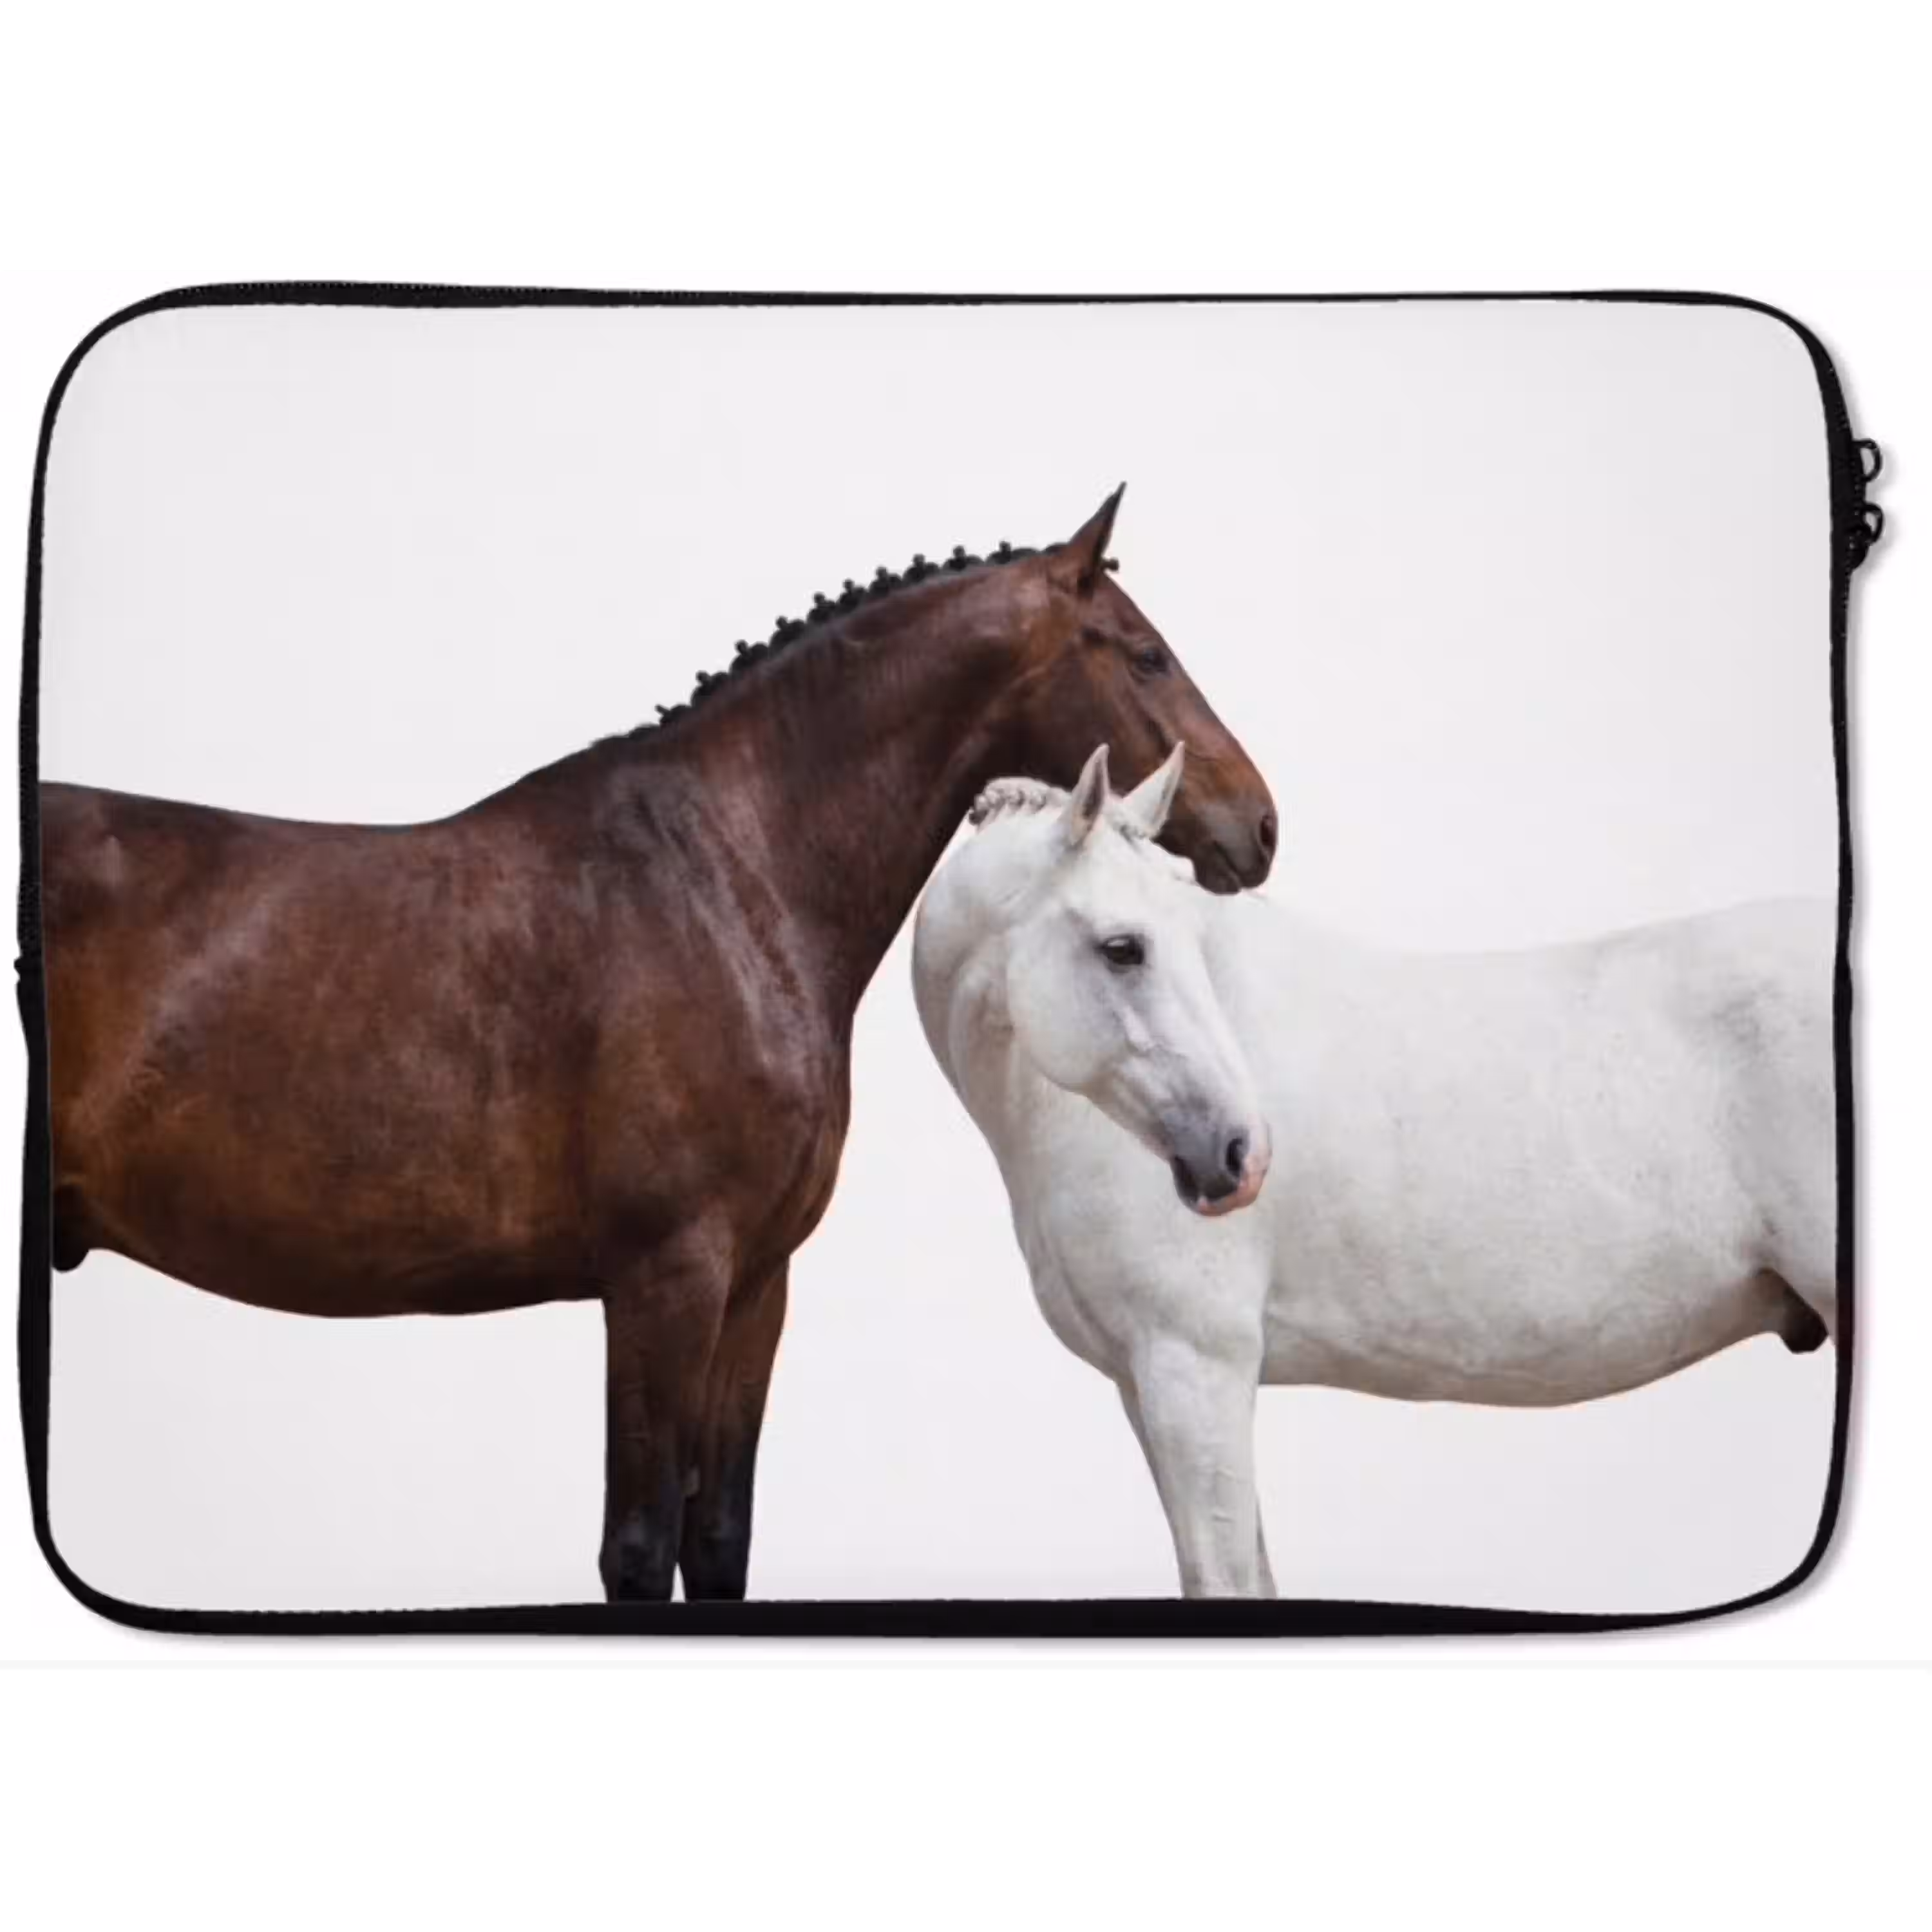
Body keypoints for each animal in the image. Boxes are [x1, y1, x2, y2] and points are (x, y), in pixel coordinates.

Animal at [37, 489, 1279, 1604]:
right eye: (1146, 656)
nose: (1260, 824)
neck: (727, 880)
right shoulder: (662, 1278)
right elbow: (636, 1548)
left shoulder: (755, 1285)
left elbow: (717, 1536)